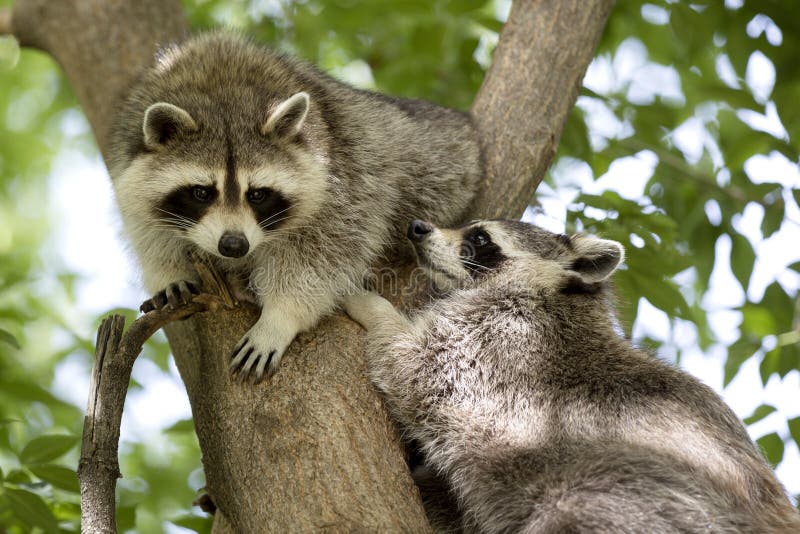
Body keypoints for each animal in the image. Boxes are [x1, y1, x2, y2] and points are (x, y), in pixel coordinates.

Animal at [106, 32, 482, 382]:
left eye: (258, 195)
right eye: (201, 193)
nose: (234, 245)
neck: (223, 96)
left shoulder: (341, 180)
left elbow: (326, 251)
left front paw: (280, 317)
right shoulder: (128, 160)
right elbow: (147, 227)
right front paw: (170, 272)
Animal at [344, 220, 800, 532]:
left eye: (481, 238)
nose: (418, 228)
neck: (550, 292)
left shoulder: (500, 343)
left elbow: (414, 365)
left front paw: (374, 307)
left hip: (631, 496)